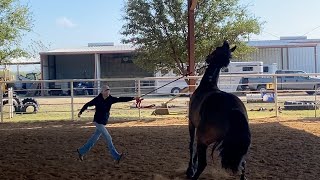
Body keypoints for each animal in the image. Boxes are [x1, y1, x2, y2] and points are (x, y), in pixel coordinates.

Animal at [186, 41, 251, 180]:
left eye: (216, 49)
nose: (207, 57)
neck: (208, 85)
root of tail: (233, 110)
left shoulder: (192, 124)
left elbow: (191, 146)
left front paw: (190, 169)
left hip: (202, 138)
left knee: (203, 164)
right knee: (243, 164)